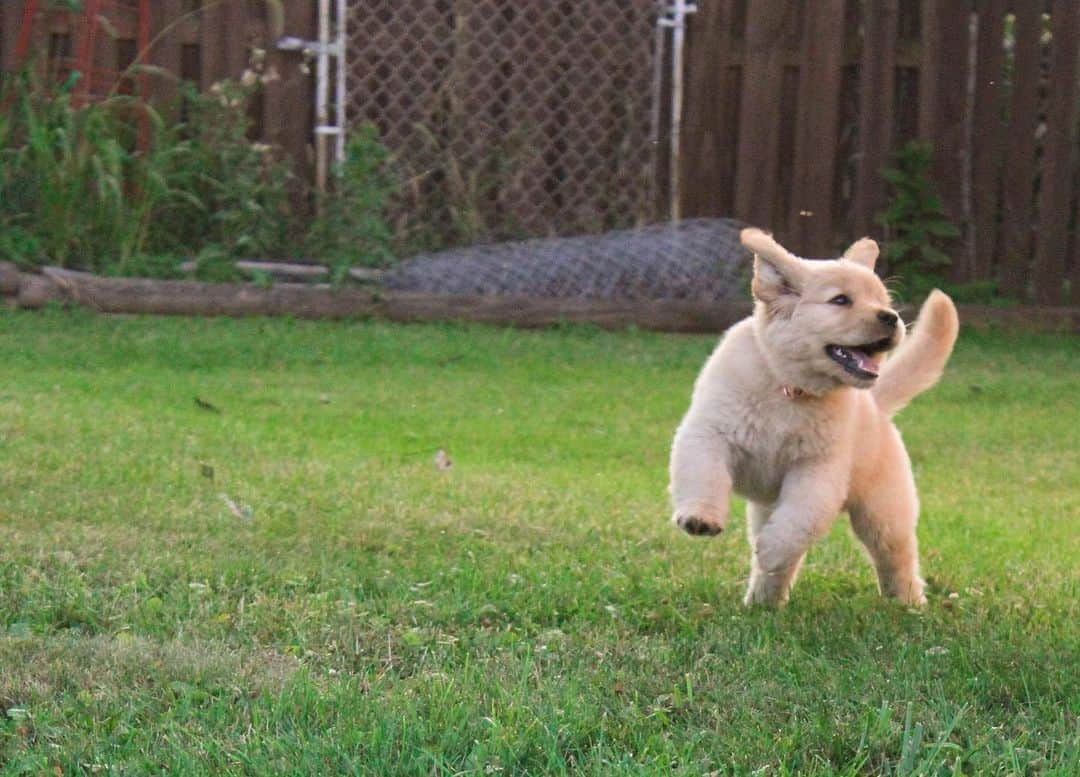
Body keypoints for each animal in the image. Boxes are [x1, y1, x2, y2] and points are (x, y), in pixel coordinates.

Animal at [669, 228, 959, 605]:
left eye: (883, 299)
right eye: (840, 300)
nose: (891, 317)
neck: (789, 389)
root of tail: (877, 406)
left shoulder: (818, 472)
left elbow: (796, 525)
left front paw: (771, 550)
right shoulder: (708, 435)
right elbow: (704, 475)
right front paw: (701, 516)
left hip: (884, 513)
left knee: (897, 558)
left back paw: (907, 603)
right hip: (768, 506)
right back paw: (762, 602)